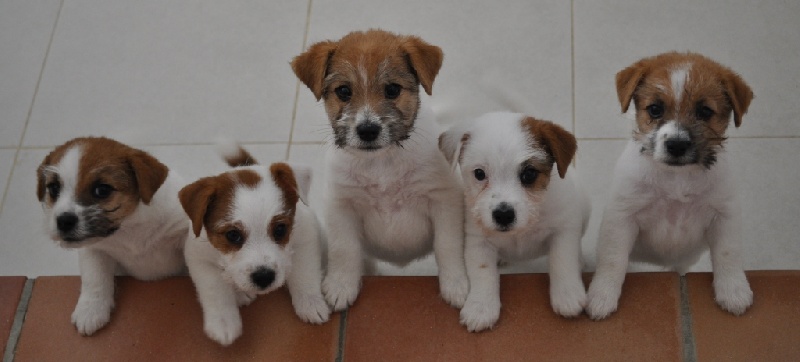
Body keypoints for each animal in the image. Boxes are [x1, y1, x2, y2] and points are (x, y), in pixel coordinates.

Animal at [37, 136, 189, 336]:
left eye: (102, 190)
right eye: (54, 188)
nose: (63, 221)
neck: (130, 226)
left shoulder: (183, 233)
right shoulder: (94, 250)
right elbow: (94, 278)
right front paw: (90, 310)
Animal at [180, 144, 328, 346]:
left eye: (280, 229)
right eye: (233, 235)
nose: (264, 277)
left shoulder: (306, 236)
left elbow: (305, 275)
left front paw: (311, 303)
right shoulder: (199, 258)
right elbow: (215, 290)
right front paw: (223, 322)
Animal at [292, 28, 468, 312]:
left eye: (392, 89)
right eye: (344, 91)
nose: (367, 130)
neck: (381, 164)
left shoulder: (444, 200)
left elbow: (448, 244)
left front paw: (456, 285)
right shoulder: (341, 205)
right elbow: (344, 248)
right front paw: (341, 285)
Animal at [438, 113, 588, 330]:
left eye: (529, 174)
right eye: (479, 174)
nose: (503, 214)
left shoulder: (564, 230)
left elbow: (562, 260)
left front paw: (567, 294)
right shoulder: (478, 242)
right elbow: (483, 273)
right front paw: (480, 307)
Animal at [584, 51, 752, 320]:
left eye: (705, 111)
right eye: (655, 109)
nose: (676, 145)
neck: (677, 178)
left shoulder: (724, 215)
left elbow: (728, 254)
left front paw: (734, 291)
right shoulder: (622, 217)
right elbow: (612, 259)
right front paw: (601, 296)